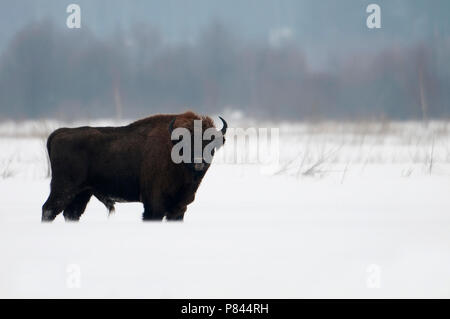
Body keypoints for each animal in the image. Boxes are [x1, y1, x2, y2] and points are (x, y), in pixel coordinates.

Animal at [42, 112, 227, 222]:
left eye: (210, 143)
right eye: (186, 144)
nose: (199, 162)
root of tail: (59, 133)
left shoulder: (179, 207)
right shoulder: (154, 204)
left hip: (82, 192)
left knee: (71, 213)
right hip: (63, 188)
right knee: (48, 209)